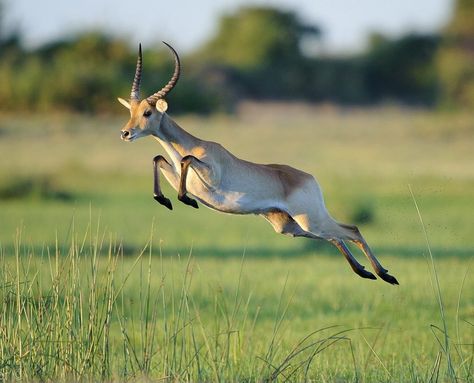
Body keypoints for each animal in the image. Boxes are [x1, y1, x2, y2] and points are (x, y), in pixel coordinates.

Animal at [117, 43, 396, 286]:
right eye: (131, 111)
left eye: (148, 112)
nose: (125, 133)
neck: (193, 144)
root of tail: (308, 177)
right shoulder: (179, 175)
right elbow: (158, 159)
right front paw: (165, 200)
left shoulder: (210, 175)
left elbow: (186, 160)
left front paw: (186, 200)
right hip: (291, 226)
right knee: (337, 237)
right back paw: (366, 273)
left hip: (310, 220)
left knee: (351, 229)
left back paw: (385, 275)